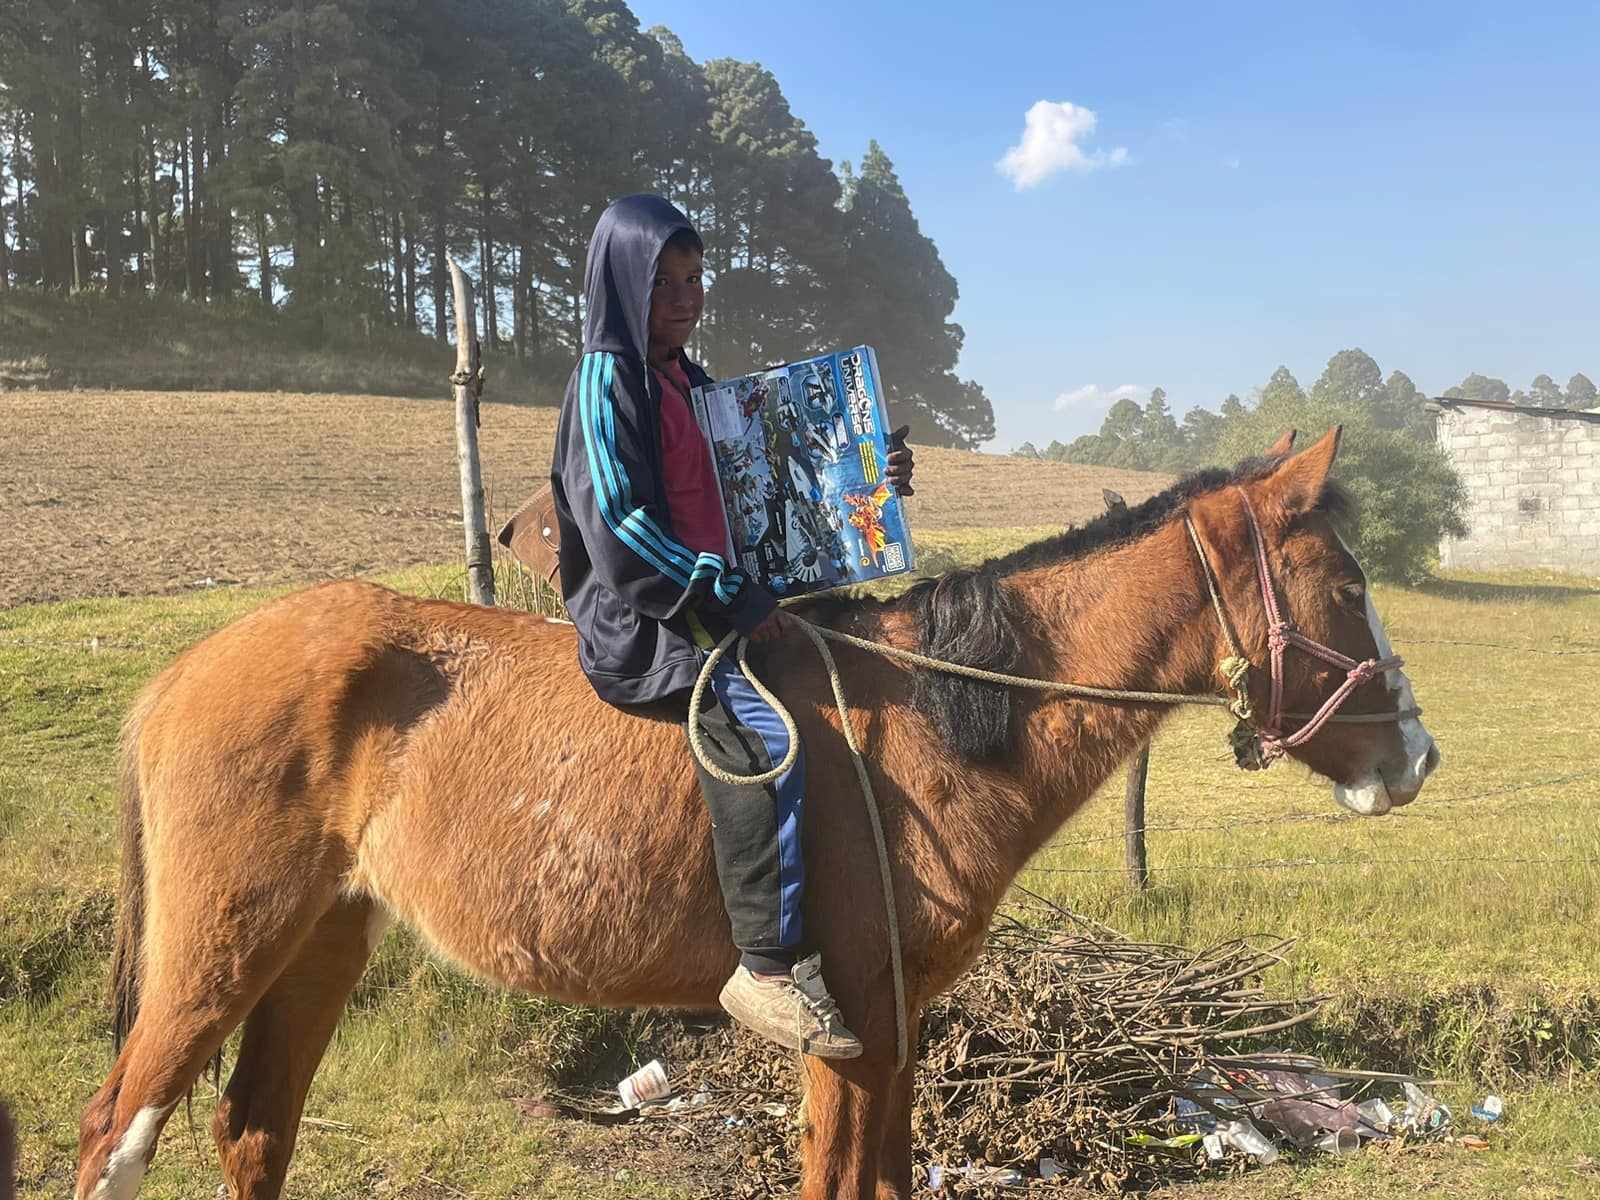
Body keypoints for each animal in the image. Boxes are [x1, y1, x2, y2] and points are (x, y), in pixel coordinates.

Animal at [75, 432, 1440, 1200]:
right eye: (1343, 583)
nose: (1416, 757)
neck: (931, 722)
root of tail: (186, 672)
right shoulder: (849, 1033)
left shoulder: (894, 1031)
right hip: (218, 951)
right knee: (117, 1139)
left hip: (317, 941)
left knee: (254, 1133)